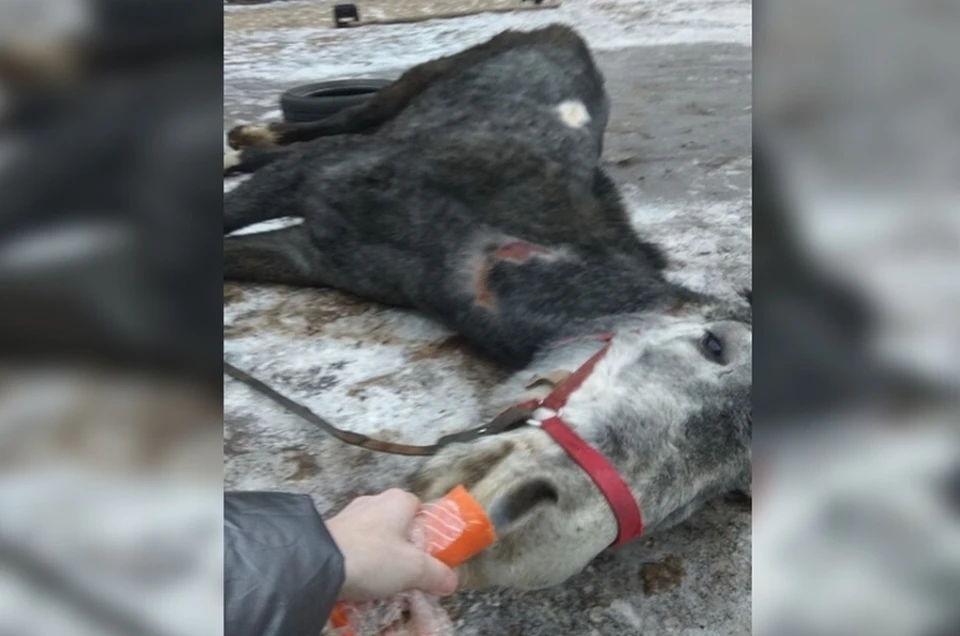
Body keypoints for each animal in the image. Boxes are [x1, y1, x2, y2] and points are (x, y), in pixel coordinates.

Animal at [225, 24, 752, 592]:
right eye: (713, 345)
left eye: (730, 488)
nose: (527, 542)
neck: (495, 235)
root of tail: (565, 35)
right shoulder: (306, 181)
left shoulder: (309, 256)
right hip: (414, 85)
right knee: (340, 121)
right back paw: (247, 142)